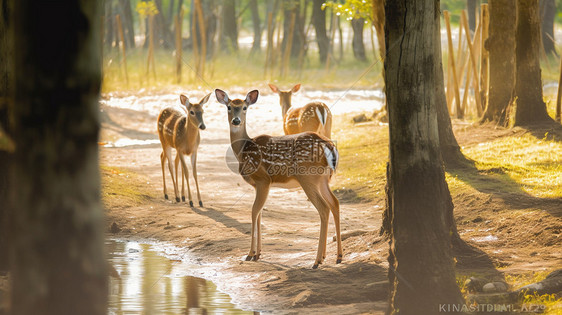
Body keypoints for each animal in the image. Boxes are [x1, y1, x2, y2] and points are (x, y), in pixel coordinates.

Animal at [214, 89, 342, 270]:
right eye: (229, 107)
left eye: (245, 107)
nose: (236, 120)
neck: (243, 149)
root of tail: (329, 146)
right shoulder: (258, 185)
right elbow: (260, 213)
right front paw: (258, 254)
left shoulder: (263, 180)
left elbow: (254, 211)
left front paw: (250, 254)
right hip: (323, 179)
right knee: (334, 203)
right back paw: (337, 257)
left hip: (308, 177)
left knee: (324, 208)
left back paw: (317, 261)